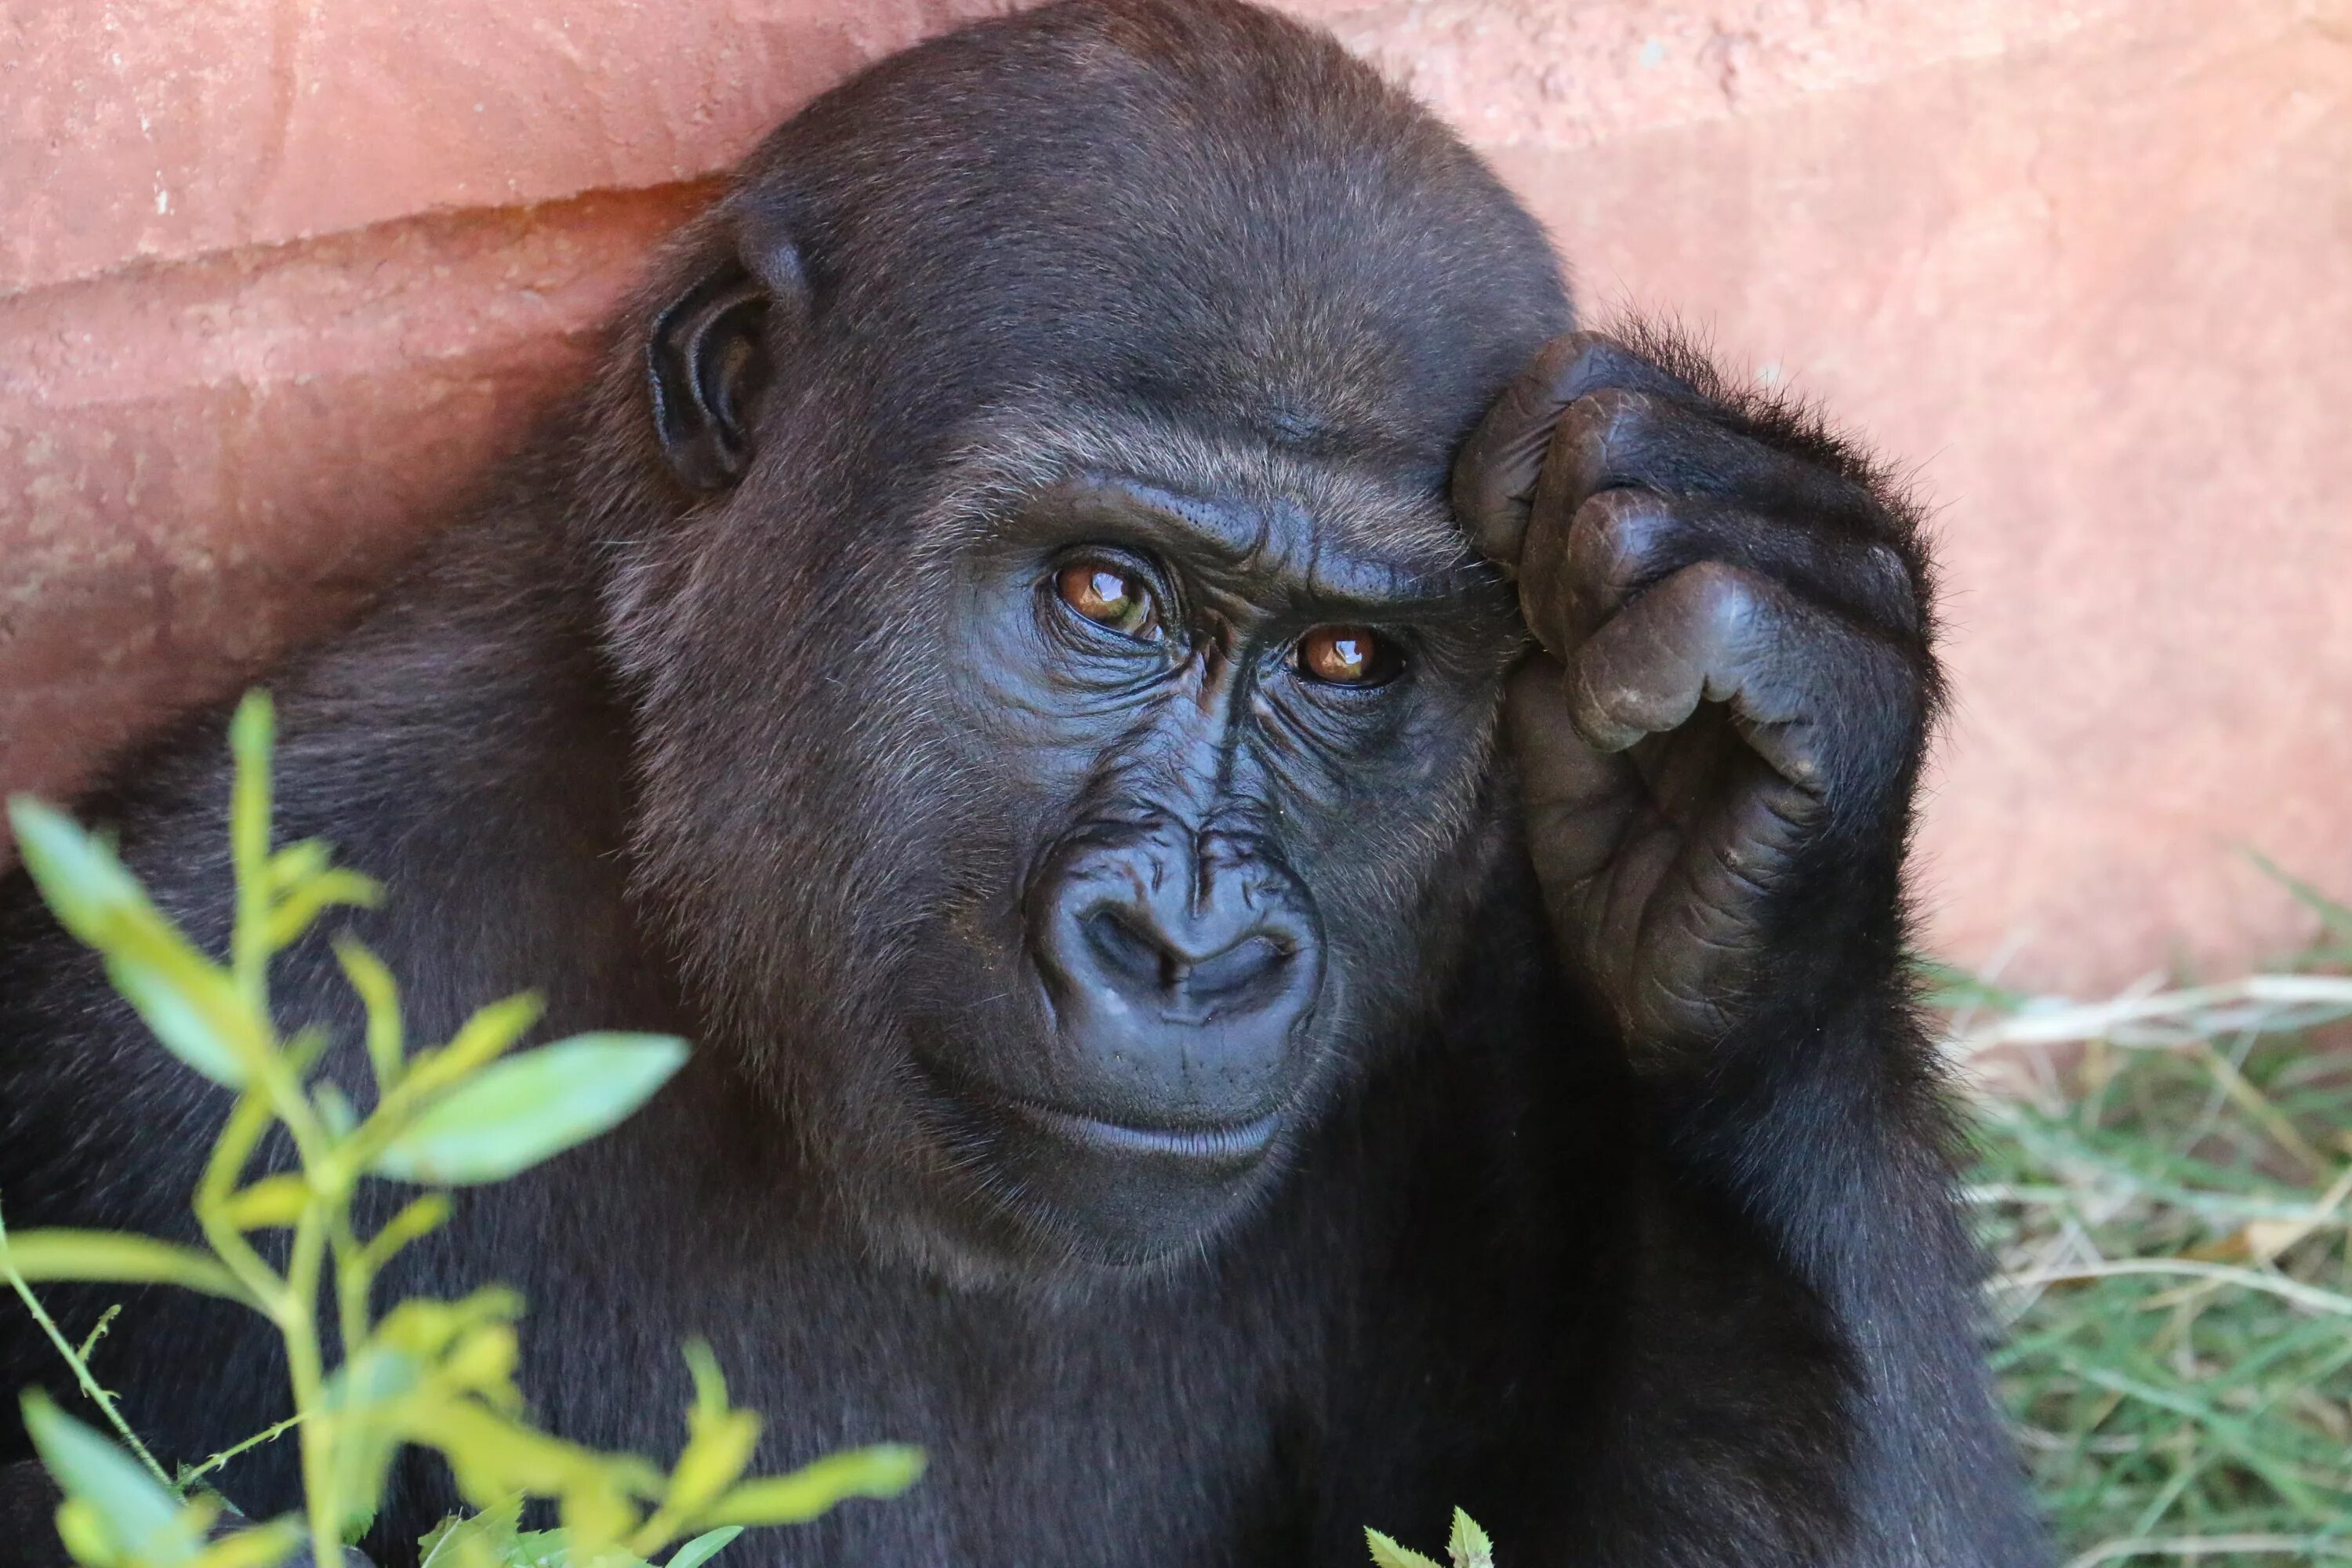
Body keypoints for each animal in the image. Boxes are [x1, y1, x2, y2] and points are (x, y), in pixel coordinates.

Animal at [0, 0, 2042, 1561]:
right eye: (1102, 594)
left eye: (1345, 661)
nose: (1188, 946)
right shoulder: (168, 1047)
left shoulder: (1504, 945)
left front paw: (1750, 823)